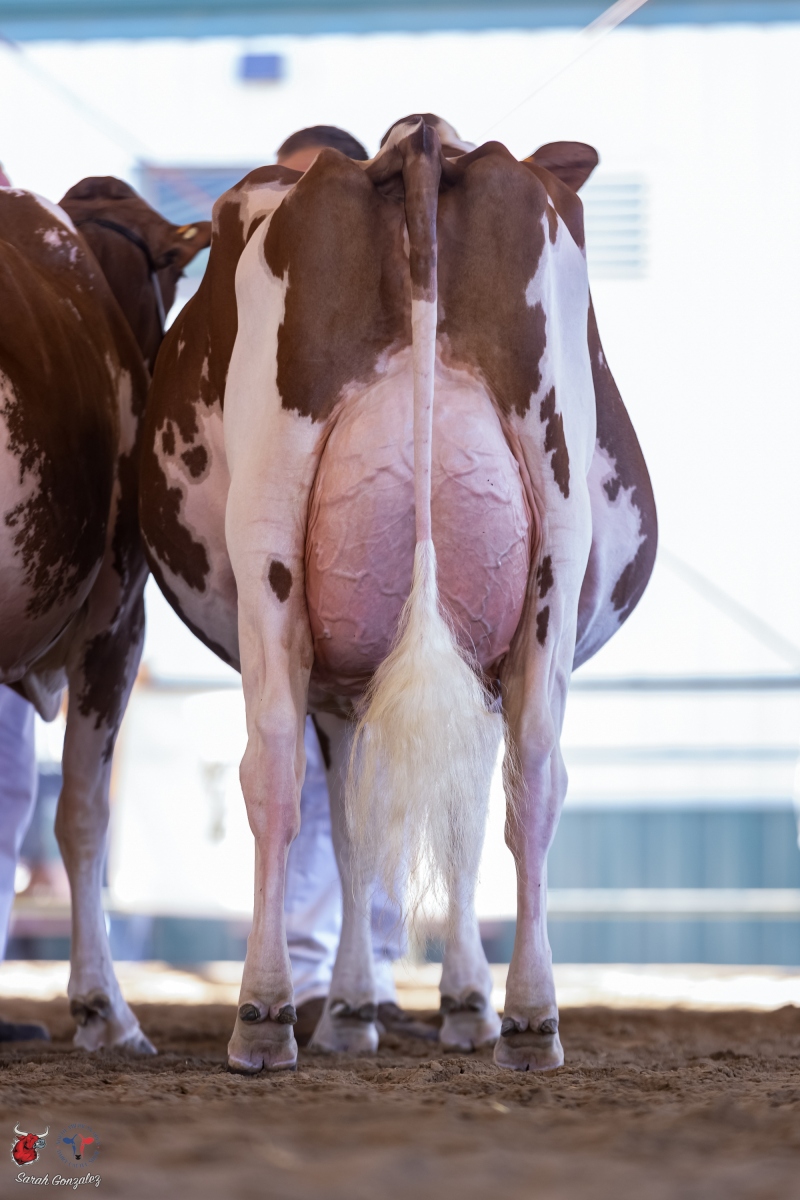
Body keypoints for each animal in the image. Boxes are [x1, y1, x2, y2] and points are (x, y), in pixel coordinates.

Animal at [140, 114, 657, 1073]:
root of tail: (421, 140)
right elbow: (415, 820)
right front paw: (435, 1003)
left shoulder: (347, 689)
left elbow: (365, 825)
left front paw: (374, 1007)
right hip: (551, 552)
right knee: (533, 774)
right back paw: (530, 1017)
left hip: (274, 539)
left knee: (276, 765)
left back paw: (266, 1013)